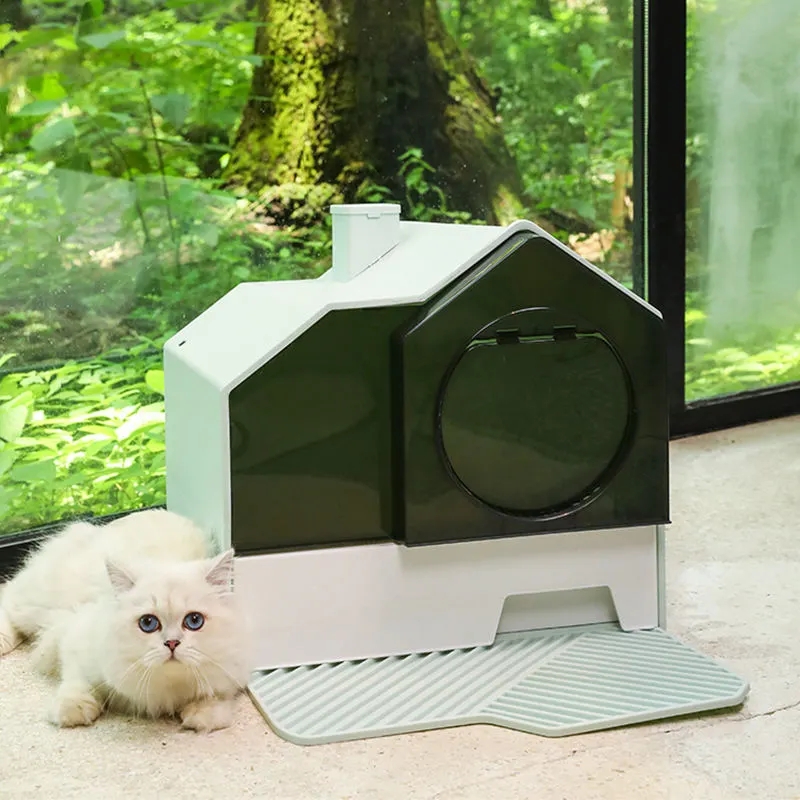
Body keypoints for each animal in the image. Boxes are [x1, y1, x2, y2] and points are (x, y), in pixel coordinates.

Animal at [0, 508, 252, 732]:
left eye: (194, 621)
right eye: (148, 623)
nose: (171, 643)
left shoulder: (232, 670)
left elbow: (218, 696)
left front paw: (203, 715)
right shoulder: (76, 641)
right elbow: (76, 680)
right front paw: (74, 711)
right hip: (35, 602)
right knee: (8, 595)